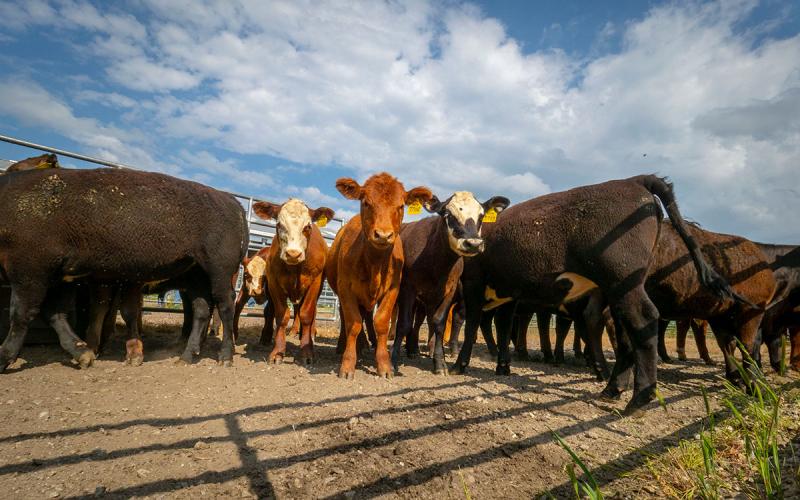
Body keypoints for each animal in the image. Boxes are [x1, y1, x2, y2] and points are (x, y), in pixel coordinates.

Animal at [0, 168, 248, 372]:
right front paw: (86, 352)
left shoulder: (29, 273)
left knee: (225, 304)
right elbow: (59, 313)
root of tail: (230, 200)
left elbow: (22, 313)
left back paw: (225, 356)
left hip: (219, 271)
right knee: (201, 309)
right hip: (195, 274)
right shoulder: (71, 278)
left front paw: (4, 357)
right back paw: (186, 356)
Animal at [251, 199, 333, 365]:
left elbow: (307, 315)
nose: (293, 254)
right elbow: (282, 316)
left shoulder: (315, 282)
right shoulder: (274, 283)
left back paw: (308, 335)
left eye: (307, 226)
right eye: (279, 225)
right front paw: (278, 351)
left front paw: (307, 351)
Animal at [327, 172, 432, 379]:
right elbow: (353, 324)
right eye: (366, 202)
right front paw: (348, 364)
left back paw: (368, 345)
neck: (374, 264)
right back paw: (346, 346)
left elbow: (381, 322)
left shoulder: (393, 289)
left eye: (400, 206)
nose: (383, 235)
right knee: (348, 317)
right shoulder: (346, 289)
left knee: (367, 316)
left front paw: (384, 364)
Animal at [391, 192, 509, 374]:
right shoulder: (408, 288)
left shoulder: (449, 291)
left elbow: (439, 322)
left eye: (481, 216)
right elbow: (403, 323)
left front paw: (439, 362)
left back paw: (417, 349)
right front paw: (392, 361)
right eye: (447, 214)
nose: (473, 243)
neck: (436, 261)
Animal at [453, 175, 741, 414]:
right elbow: (503, 327)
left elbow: (473, 323)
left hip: (623, 279)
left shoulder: (474, 282)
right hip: (617, 289)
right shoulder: (509, 292)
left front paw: (460, 364)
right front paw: (502, 366)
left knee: (644, 319)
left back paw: (639, 398)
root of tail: (634, 180)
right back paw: (613, 389)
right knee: (625, 332)